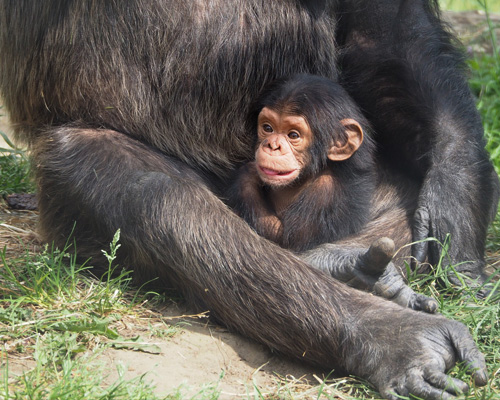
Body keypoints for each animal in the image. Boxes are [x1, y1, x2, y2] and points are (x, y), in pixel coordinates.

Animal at [0, 0, 496, 400]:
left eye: (294, 134)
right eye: (268, 127)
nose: (271, 147)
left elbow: (381, 20)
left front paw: (459, 191)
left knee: (400, 201)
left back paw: (356, 268)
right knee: (156, 197)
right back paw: (392, 333)